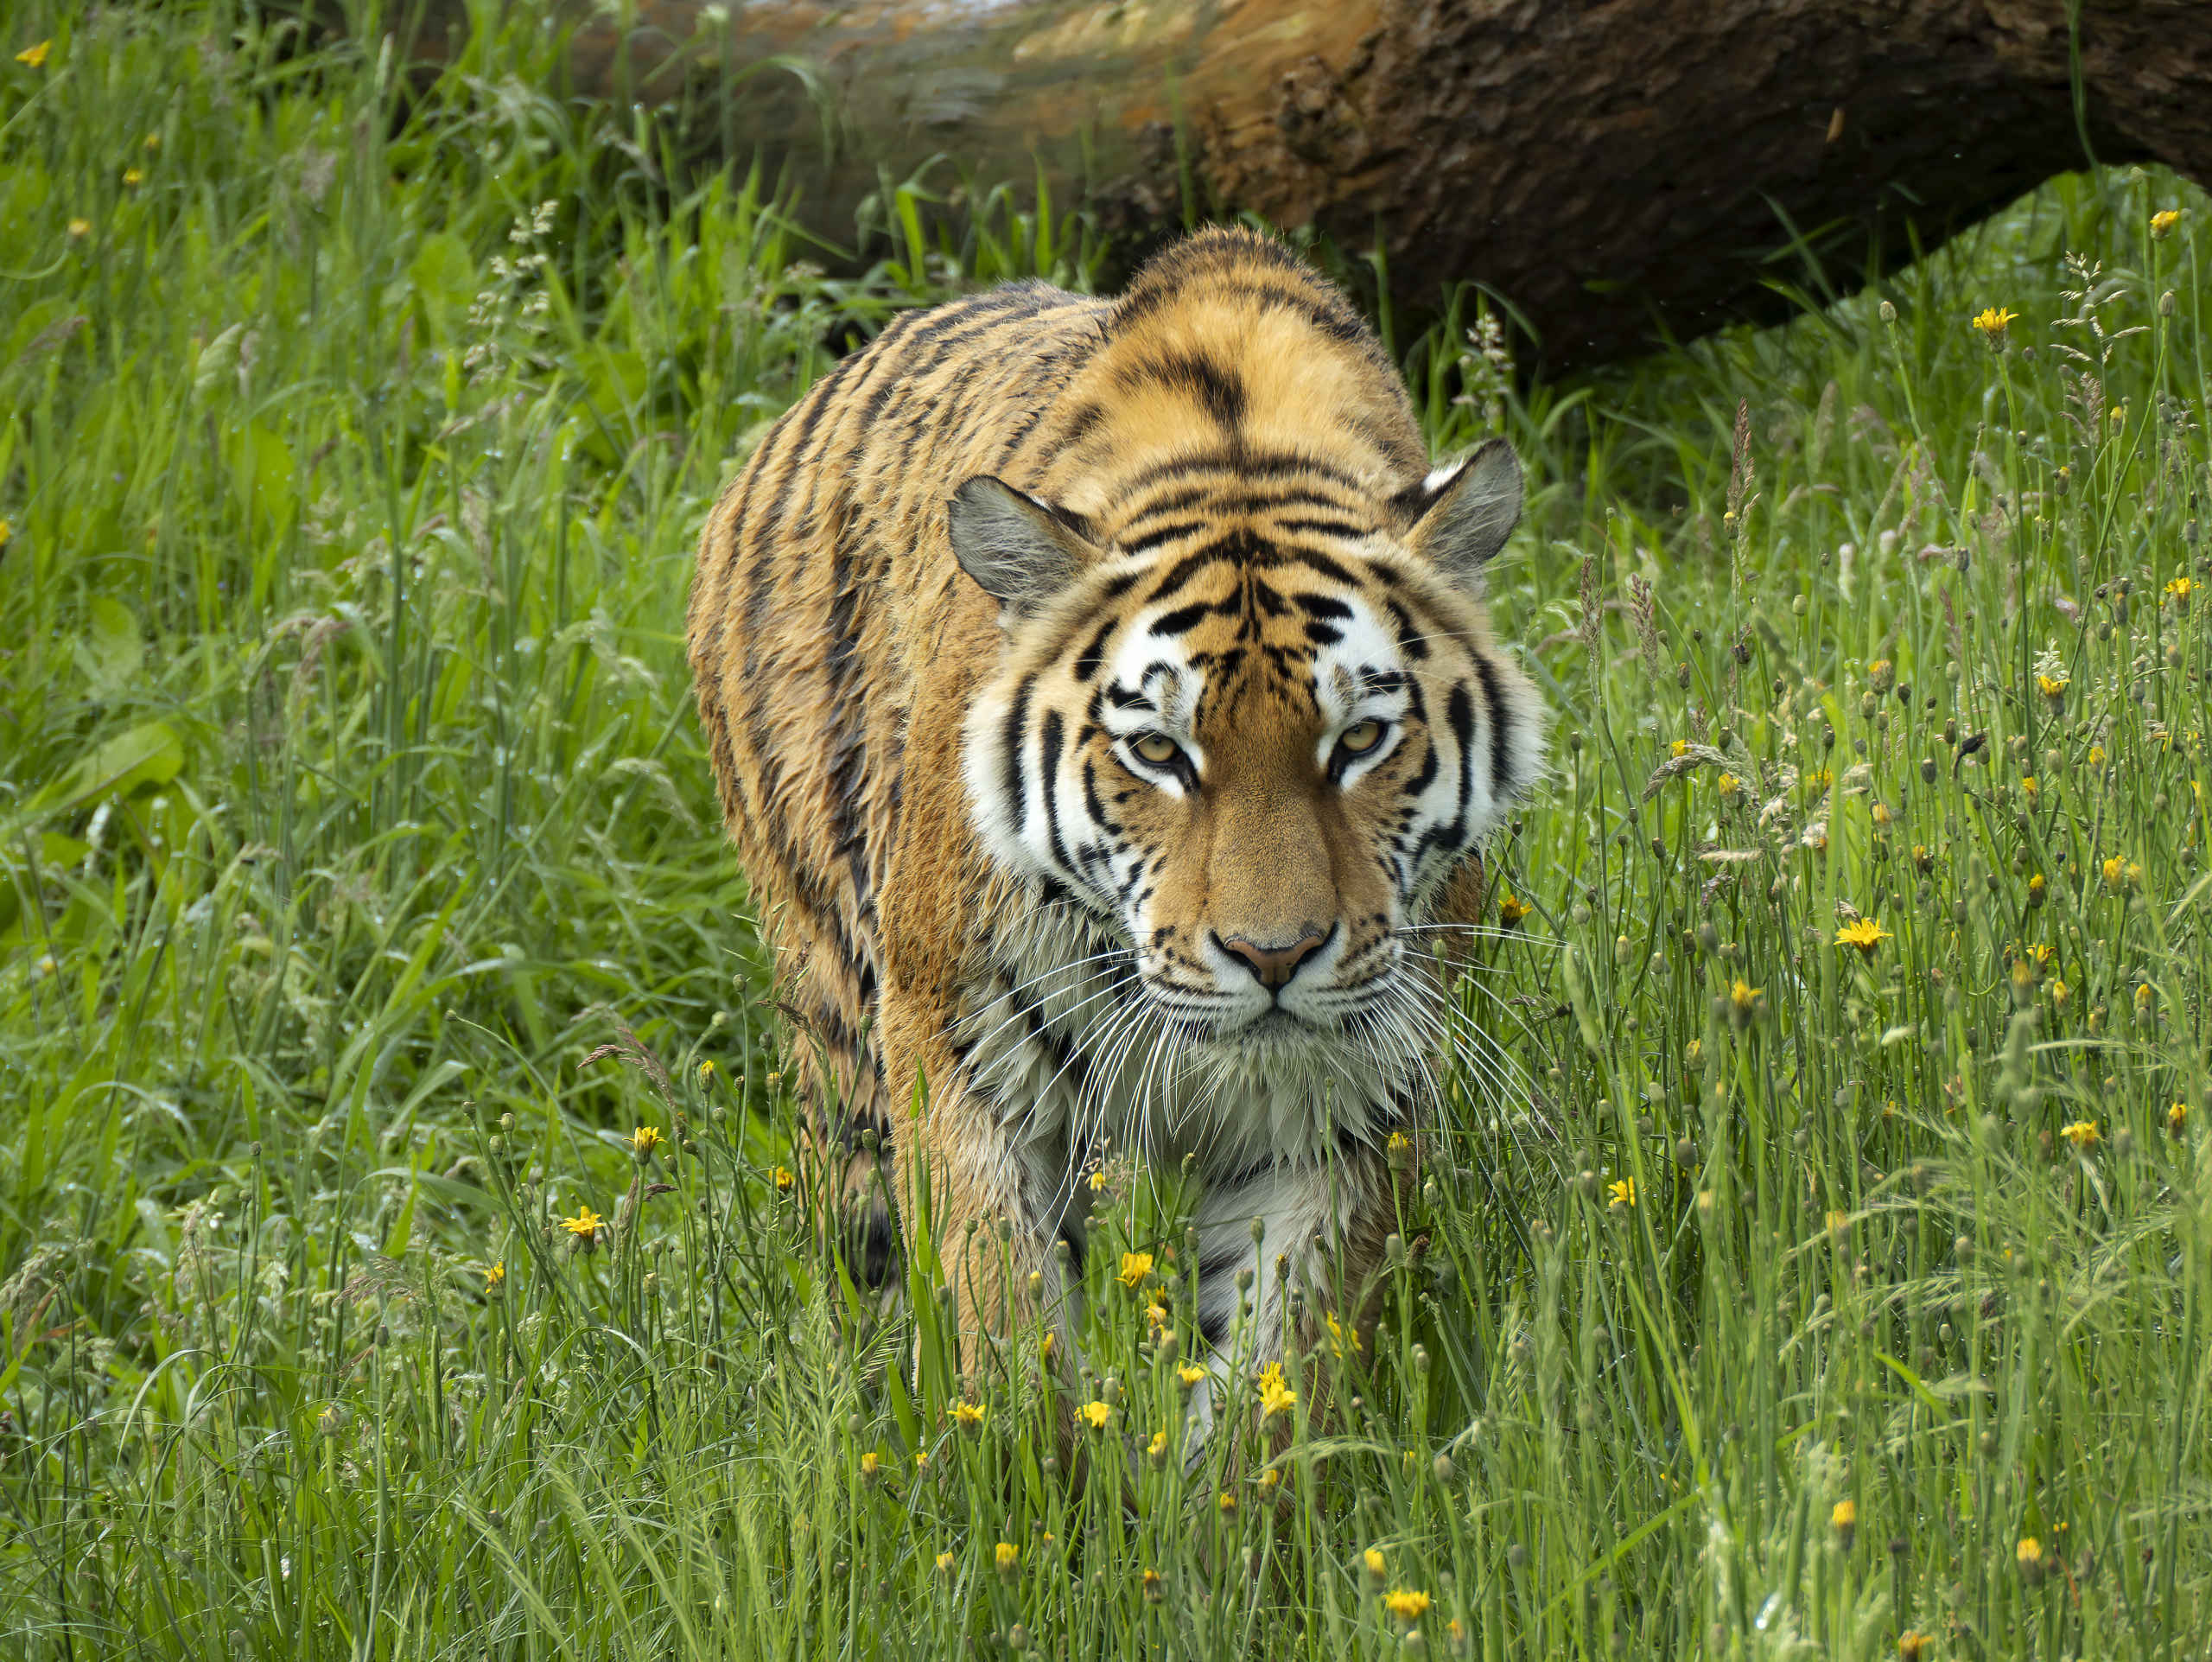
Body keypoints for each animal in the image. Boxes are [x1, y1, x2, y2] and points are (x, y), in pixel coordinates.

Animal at [686, 227, 1546, 1416]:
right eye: (1160, 753)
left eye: (1360, 740)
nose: (1272, 957)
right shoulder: (958, 1049)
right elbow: (1004, 1319)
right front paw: (1027, 1459)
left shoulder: (1346, 1095)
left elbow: (1278, 1364)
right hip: (837, 1025)